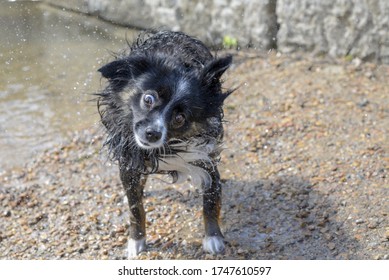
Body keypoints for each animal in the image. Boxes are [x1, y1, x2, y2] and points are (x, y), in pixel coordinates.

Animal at [97, 30, 232, 256]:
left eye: (179, 118)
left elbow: (211, 201)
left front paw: (213, 237)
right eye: (148, 99)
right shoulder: (129, 161)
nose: (152, 133)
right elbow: (135, 208)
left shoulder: (206, 158)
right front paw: (136, 241)